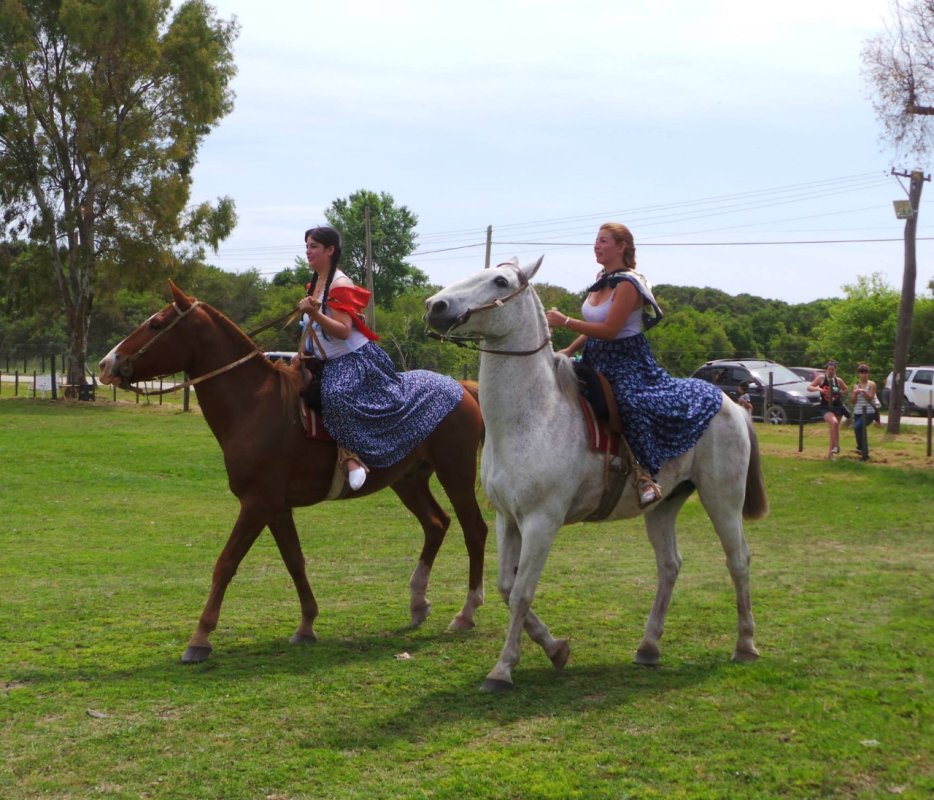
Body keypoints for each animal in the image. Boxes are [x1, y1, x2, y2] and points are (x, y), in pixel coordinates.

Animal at [98, 282, 490, 664]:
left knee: (474, 529)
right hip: (408, 480)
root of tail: (463, 388)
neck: (255, 405)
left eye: (156, 324)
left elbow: (226, 563)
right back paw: (418, 603)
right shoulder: (275, 507)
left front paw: (199, 639)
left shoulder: (256, 503)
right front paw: (306, 626)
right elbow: (294, 561)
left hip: (455, 473)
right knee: (436, 523)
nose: (106, 364)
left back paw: (467, 613)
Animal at [424, 258, 768, 692]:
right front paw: (555, 648)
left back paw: (745, 645)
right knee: (670, 565)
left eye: (500, 281)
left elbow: (521, 592)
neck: (534, 415)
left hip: (722, 499)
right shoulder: (508, 519)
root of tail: (732, 404)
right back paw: (648, 647)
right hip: (664, 506)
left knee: (738, 559)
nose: (435, 306)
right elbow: (506, 586)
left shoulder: (541, 522)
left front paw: (502, 669)